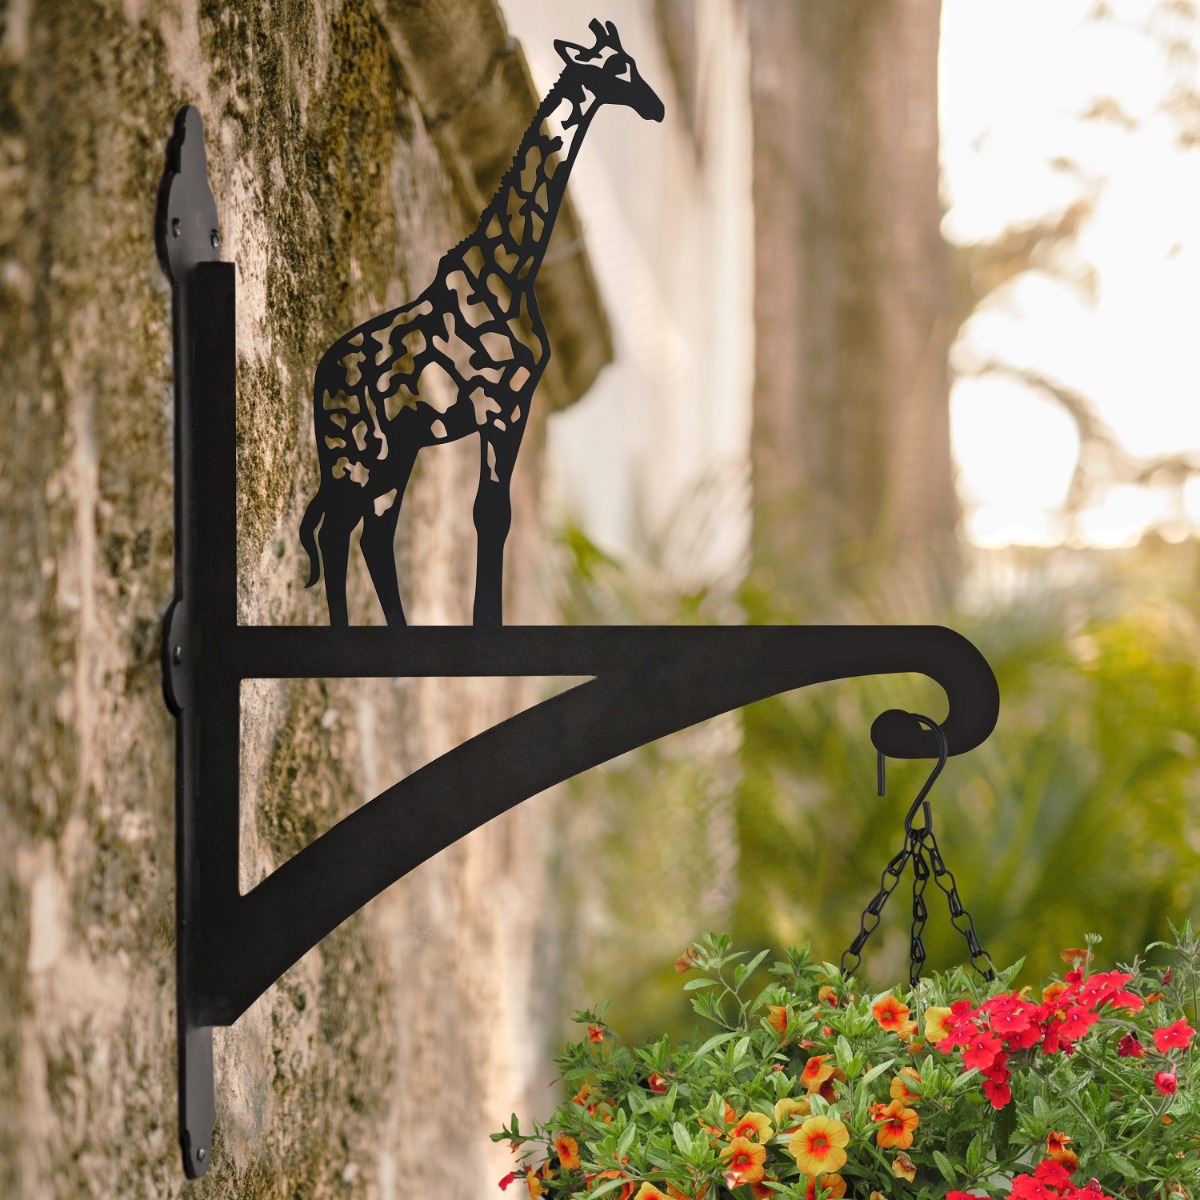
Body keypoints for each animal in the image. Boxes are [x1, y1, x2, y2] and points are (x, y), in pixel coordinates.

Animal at [299, 19, 664, 627]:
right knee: (338, 529)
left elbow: (494, 516)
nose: (655, 107)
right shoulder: (500, 405)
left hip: (394, 450)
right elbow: (490, 516)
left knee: (371, 530)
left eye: (633, 62)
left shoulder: (516, 404)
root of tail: (321, 376)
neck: (513, 269)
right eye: (616, 68)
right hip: (355, 448)